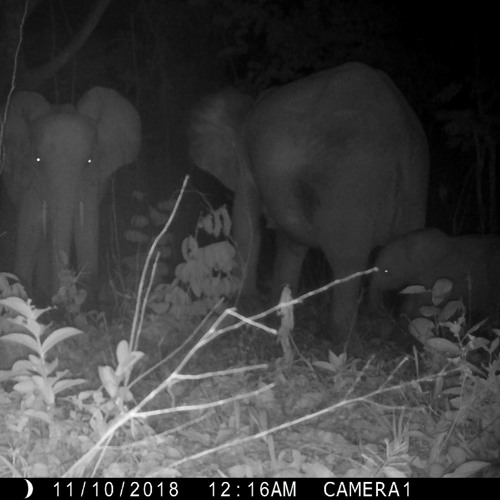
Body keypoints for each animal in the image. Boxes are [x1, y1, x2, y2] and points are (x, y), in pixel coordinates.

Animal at [0, 86, 141, 304]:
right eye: (37, 160)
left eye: (90, 161)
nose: (58, 301)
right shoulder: (29, 182)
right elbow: (30, 229)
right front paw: (22, 297)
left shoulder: (90, 185)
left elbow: (87, 232)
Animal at [190, 62, 430, 344]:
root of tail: (398, 131)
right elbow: (290, 243)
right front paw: (278, 314)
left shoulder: (245, 159)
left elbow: (247, 228)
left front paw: (246, 311)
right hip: (415, 181)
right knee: (412, 254)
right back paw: (408, 337)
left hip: (350, 181)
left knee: (347, 260)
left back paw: (338, 340)